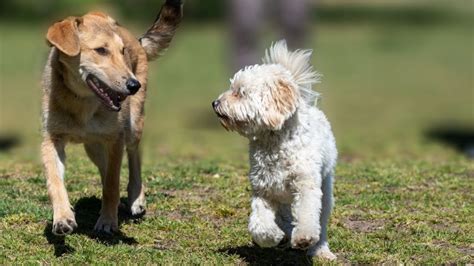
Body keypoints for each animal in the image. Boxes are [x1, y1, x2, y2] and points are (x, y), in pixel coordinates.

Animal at [41, 1, 182, 236]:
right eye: (100, 50)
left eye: (122, 51)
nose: (134, 85)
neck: (82, 103)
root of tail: (136, 39)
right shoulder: (52, 139)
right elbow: (55, 182)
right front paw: (62, 218)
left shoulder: (116, 139)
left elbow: (112, 184)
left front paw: (107, 221)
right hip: (93, 147)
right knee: (105, 167)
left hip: (133, 126)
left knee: (134, 156)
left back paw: (136, 198)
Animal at [211, 40, 336, 260]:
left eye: (240, 92)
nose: (215, 103)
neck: (274, 142)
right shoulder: (264, 189)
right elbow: (259, 225)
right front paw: (273, 236)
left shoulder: (306, 185)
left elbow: (307, 214)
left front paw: (303, 238)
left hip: (325, 188)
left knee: (320, 220)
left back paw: (320, 249)